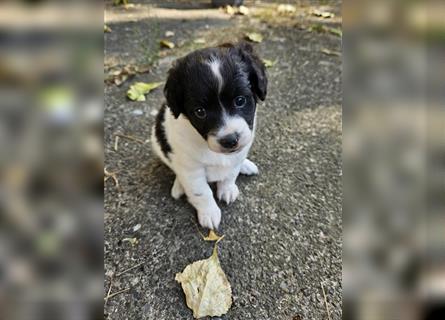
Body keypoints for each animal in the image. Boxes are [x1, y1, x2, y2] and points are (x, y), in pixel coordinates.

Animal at [152, 42, 268, 230]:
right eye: (200, 112)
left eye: (240, 100)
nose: (230, 140)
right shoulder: (191, 169)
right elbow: (201, 192)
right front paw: (209, 213)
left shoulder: (237, 154)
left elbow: (230, 174)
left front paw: (227, 188)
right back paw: (179, 186)